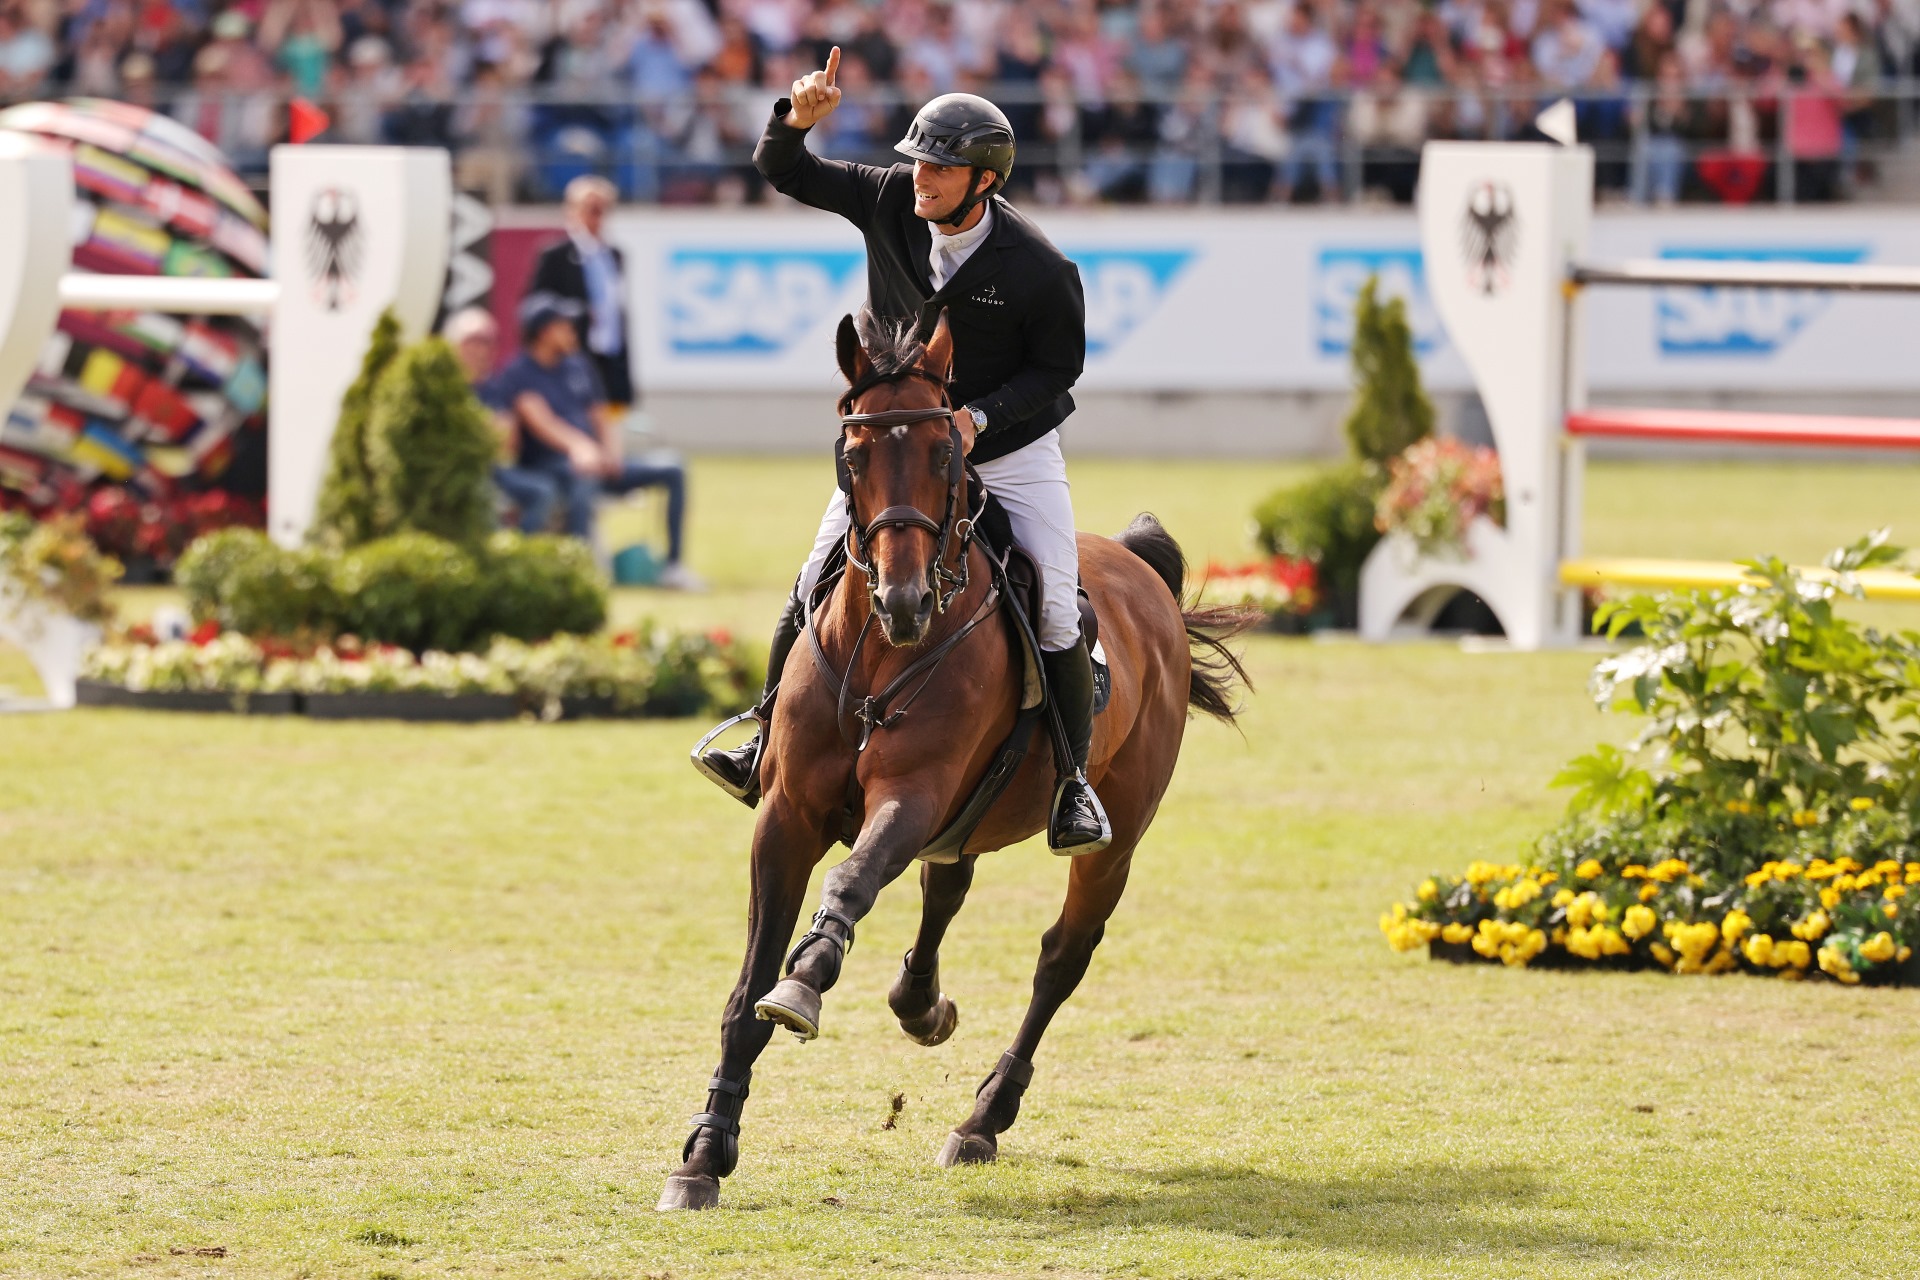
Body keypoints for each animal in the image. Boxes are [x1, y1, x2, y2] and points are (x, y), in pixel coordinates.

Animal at [658, 309, 1255, 1211]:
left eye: (946, 452)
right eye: (852, 455)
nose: (904, 602)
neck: (880, 653)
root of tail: (1136, 564)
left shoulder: (911, 795)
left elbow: (849, 885)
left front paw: (806, 982)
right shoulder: (788, 815)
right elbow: (746, 986)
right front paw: (705, 1151)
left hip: (1112, 836)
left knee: (1061, 958)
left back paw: (983, 1118)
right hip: (968, 817)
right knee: (947, 890)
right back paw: (922, 1006)